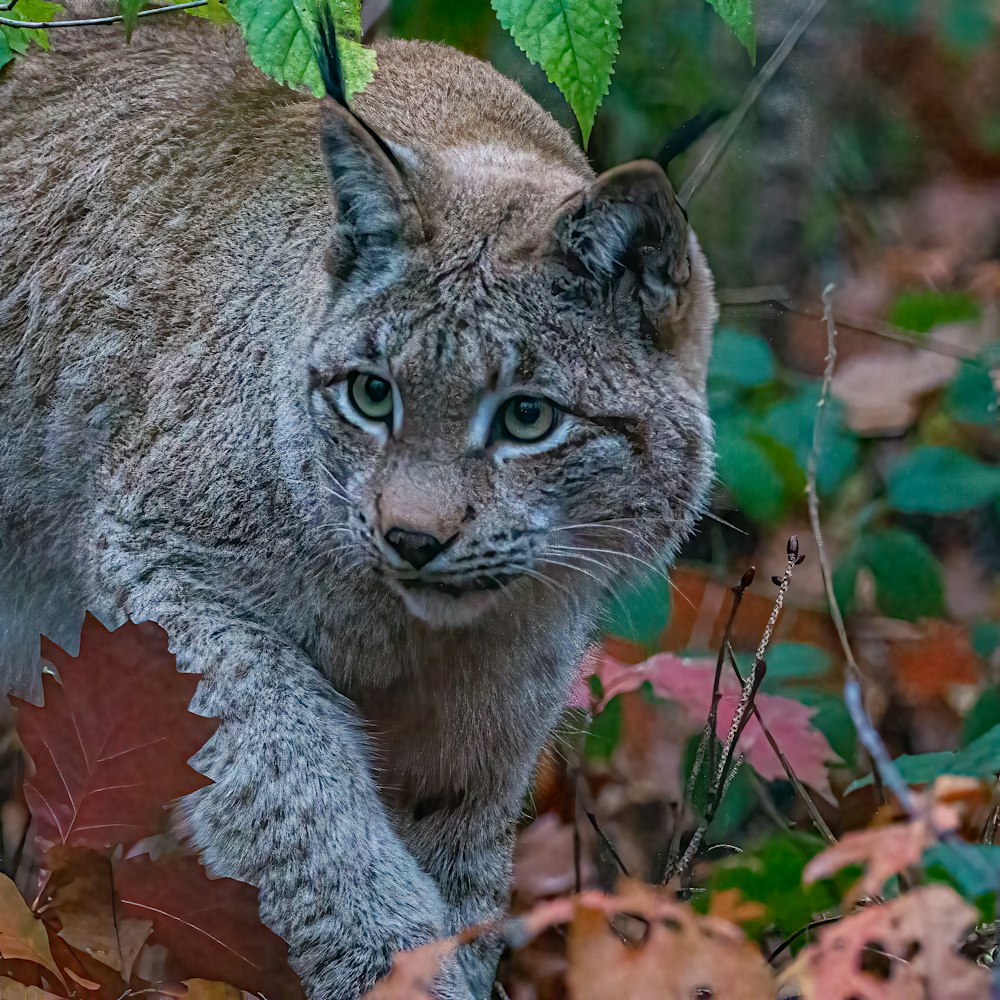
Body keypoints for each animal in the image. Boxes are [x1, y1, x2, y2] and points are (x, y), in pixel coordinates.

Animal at [0, 9, 720, 1000]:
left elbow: (457, 877)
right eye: (372, 396)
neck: (422, 632)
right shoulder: (157, 560)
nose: (411, 538)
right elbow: (297, 794)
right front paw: (388, 968)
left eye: (529, 418)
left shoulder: (496, 718)